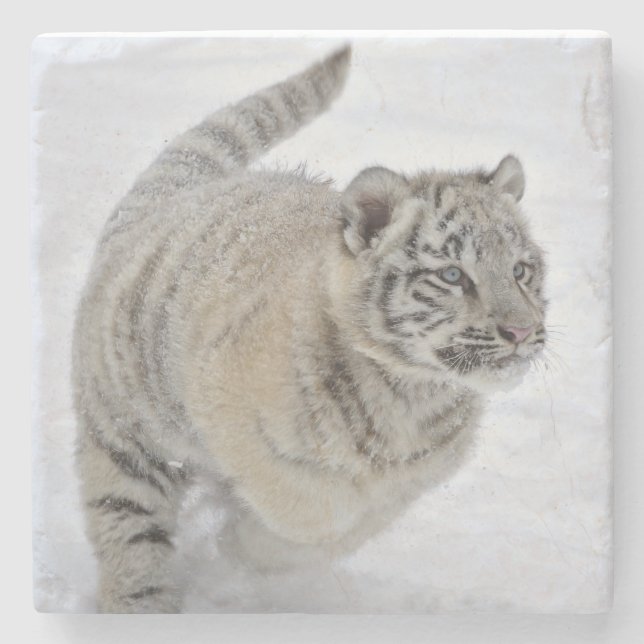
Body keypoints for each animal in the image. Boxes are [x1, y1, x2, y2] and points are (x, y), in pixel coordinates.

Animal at [72, 43, 547, 613]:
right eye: (453, 275)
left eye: (519, 270)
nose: (522, 332)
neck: (411, 395)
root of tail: (179, 195)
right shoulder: (229, 411)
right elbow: (305, 508)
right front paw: (240, 541)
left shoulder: (407, 482)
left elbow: (343, 527)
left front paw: (248, 547)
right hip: (125, 439)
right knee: (131, 534)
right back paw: (141, 601)